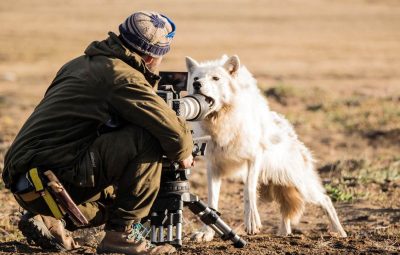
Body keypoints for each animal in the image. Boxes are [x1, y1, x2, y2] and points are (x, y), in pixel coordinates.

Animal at [188, 54, 346, 241]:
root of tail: (292, 132)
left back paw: (340, 232)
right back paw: (284, 234)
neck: (221, 121)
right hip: (276, 188)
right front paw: (206, 233)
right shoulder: (213, 166)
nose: (197, 85)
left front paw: (252, 223)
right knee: (285, 211)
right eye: (196, 78)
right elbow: (211, 202)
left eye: (215, 78)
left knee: (325, 199)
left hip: (301, 186)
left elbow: (248, 190)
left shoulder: (254, 157)